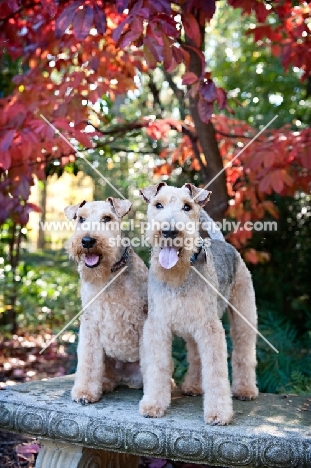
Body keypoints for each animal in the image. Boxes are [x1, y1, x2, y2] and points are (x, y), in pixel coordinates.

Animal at [64, 197, 148, 402]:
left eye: (107, 218)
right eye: (81, 218)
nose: (87, 241)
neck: (109, 275)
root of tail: (124, 377)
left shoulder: (143, 321)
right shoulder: (90, 324)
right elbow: (88, 361)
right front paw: (84, 392)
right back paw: (104, 385)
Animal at [139, 183, 258, 424]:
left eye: (187, 206)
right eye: (158, 205)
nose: (169, 232)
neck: (178, 276)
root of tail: (222, 242)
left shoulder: (210, 328)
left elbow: (216, 371)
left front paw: (219, 413)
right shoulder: (157, 327)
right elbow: (158, 366)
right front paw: (153, 405)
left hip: (243, 316)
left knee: (243, 353)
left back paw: (245, 390)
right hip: (191, 329)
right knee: (195, 357)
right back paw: (192, 386)